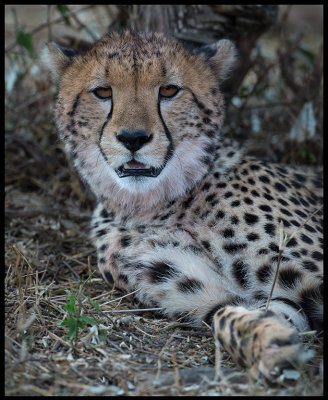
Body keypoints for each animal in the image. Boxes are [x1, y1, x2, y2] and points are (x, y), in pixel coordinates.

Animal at [43, 29, 322, 380]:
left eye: (169, 90)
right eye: (103, 91)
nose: (133, 138)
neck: (157, 205)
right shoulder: (240, 295)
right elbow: (228, 316)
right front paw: (268, 342)